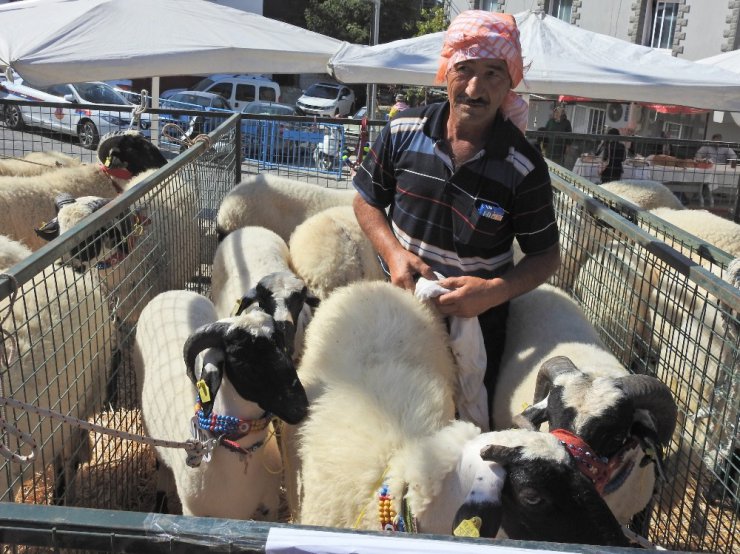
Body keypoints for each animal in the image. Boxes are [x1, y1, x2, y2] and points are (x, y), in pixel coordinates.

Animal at [132, 288, 306, 516]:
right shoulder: (194, 512)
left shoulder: (270, 506)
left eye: (281, 344)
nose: (300, 407)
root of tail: (172, 292)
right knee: (162, 465)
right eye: (240, 356)